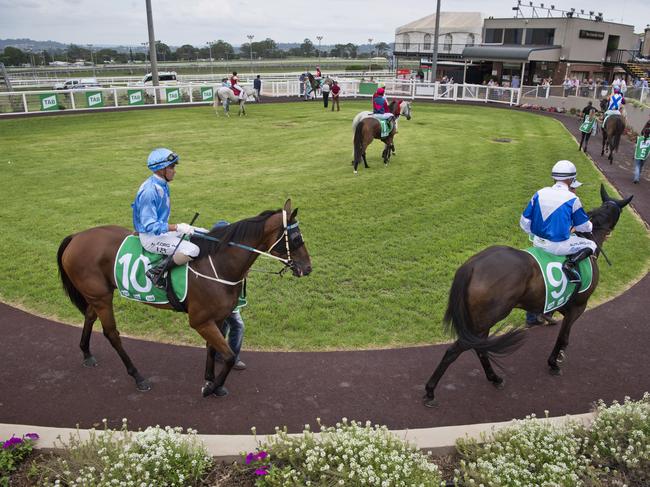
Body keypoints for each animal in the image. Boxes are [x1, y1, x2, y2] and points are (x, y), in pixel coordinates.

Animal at [57, 200, 310, 398]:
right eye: (296, 237)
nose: (307, 268)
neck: (218, 265)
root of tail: (76, 236)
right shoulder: (200, 321)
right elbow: (228, 356)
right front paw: (212, 388)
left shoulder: (217, 318)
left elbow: (213, 349)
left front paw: (211, 381)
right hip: (101, 297)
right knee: (112, 334)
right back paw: (138, 377)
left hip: (97, 294)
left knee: (90, 316)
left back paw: (86, 353)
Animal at [422, 187, 632, 408]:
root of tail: (471, 265)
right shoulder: (579, 306)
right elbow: (563, 337)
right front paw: (554, 363)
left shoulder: (560, 303)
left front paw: (547, 326)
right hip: (486, 319)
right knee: (455, 351)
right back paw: (430, 391)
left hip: (480, 321)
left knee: (480, 348)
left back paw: (494, 378)